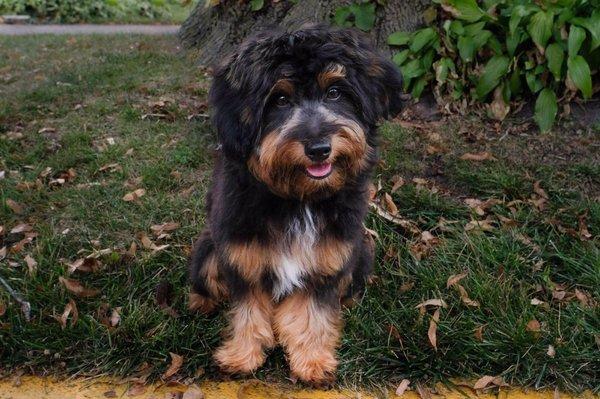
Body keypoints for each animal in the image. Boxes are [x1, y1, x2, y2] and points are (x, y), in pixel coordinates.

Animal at [189, 23, 404, 386]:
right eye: (280, 99)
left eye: (335, 92)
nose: (319, 148)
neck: (299, 198)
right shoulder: (242, 255)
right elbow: (248, 310)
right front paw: (241, 356)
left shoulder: (327, 259)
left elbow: (312, 312)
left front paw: (313, 360)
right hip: (207, 251)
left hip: (360, 253)